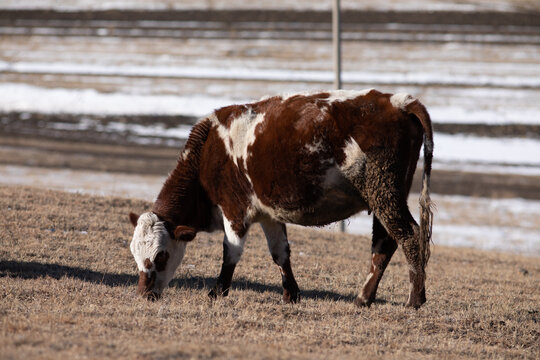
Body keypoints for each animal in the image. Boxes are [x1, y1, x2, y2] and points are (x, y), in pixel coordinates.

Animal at [129, 88, 432, 308]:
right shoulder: (268, 215)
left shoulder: (234, 211)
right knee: (384, 243)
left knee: (409, 236)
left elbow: (231, 253)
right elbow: (280, 253)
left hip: (384, 193)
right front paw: (291, 294)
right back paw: (364, 297)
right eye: (135, 254)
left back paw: (414, 299)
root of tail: (398, 101)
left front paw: (217, 291)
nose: (144, 294)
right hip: (384, 198)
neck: (210, 152)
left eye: (161, 256)